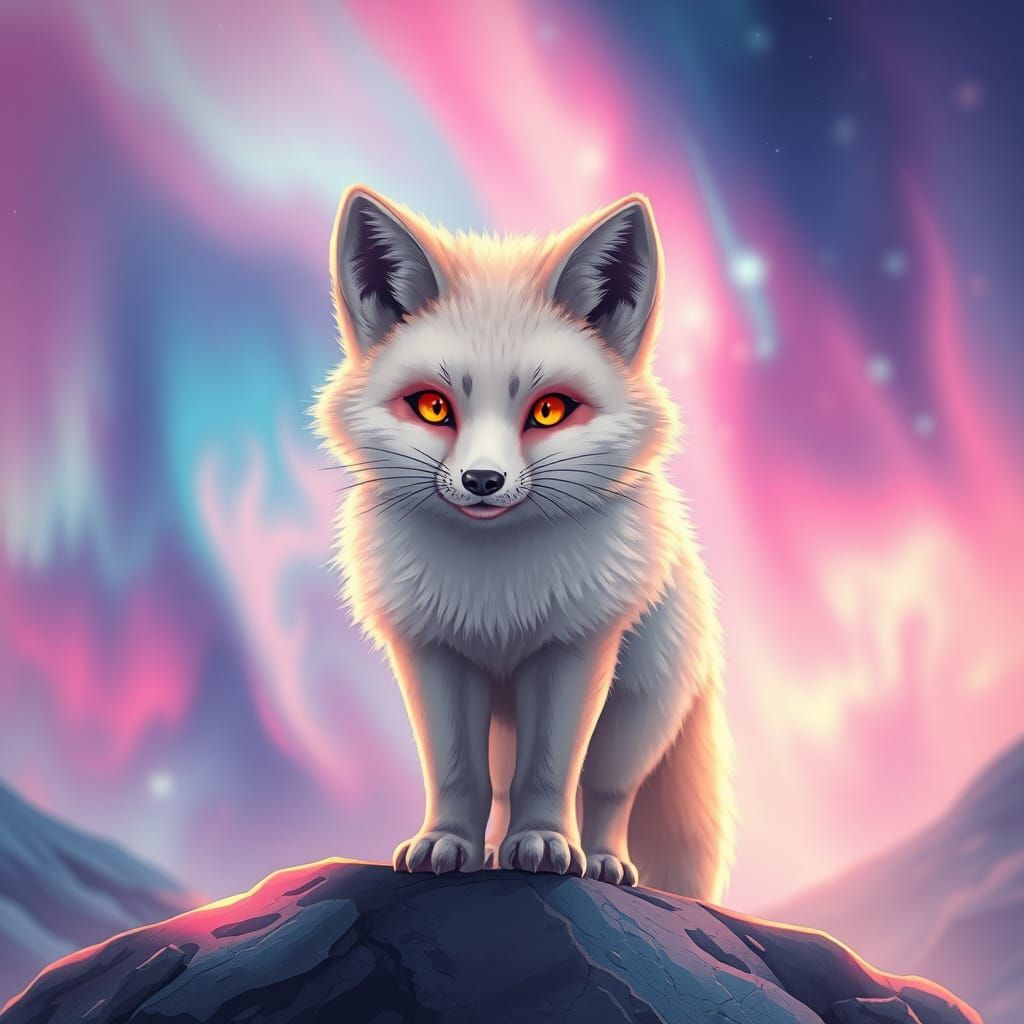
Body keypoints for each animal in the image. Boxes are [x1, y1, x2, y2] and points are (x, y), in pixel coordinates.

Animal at [314, 185, 734, 901]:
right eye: (432, 407)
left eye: (549, 410)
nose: (483, 482)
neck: (495, 597)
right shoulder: (434, 654)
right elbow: (458, 774)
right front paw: (448, 842)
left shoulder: (572, 650)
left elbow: (550, 772)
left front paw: (545, 845)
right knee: (502, 786)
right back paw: (491, 848)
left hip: (633, 717)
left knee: (607, 794)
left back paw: (603, 859)